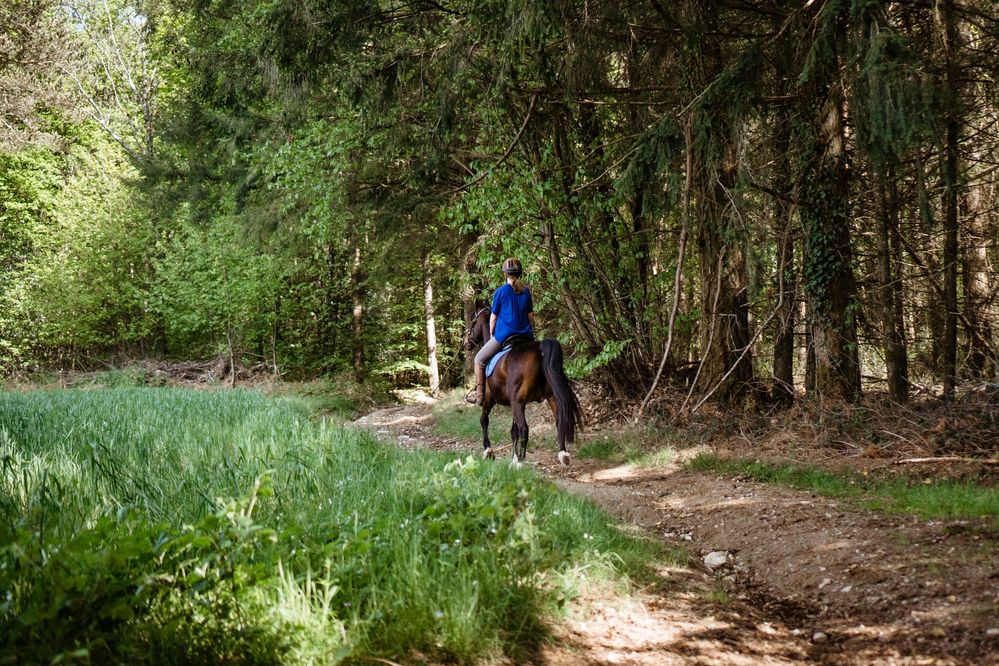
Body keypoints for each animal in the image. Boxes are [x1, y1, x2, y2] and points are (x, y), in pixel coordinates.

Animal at [464, 304, 584, 462]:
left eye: (473, 321)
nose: (465, 343)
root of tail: (539, 348)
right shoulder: (515, 403)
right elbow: (513, 431)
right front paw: (513, 457)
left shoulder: (490, 399)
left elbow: (484, 420)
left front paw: (488, 450)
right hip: (550, 396)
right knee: (559, 420)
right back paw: (563, 454)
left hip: (516, 401)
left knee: (524, 428)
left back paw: (521, 462)